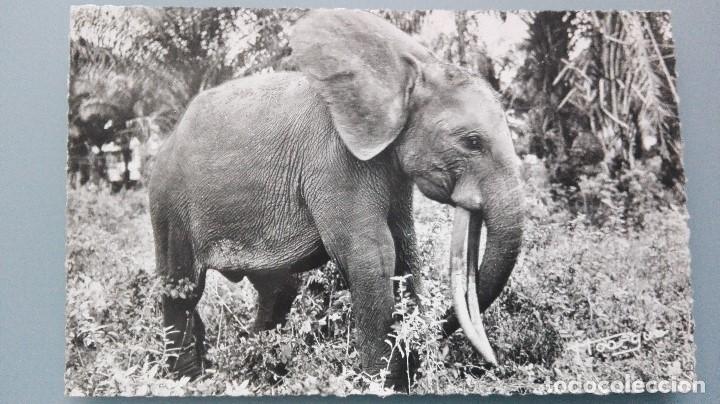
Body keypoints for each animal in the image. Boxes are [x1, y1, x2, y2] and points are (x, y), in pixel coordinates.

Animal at [148, 9, 525, 391]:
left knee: (276, 287)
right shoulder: (334, 161)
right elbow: (373, 257)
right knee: (183, 288)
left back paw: (253, 368)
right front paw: (380, 385)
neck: (407, 71)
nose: (491, 360)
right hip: (169, 201)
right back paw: (189, 379)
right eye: (472, 142)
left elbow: (406, 251)